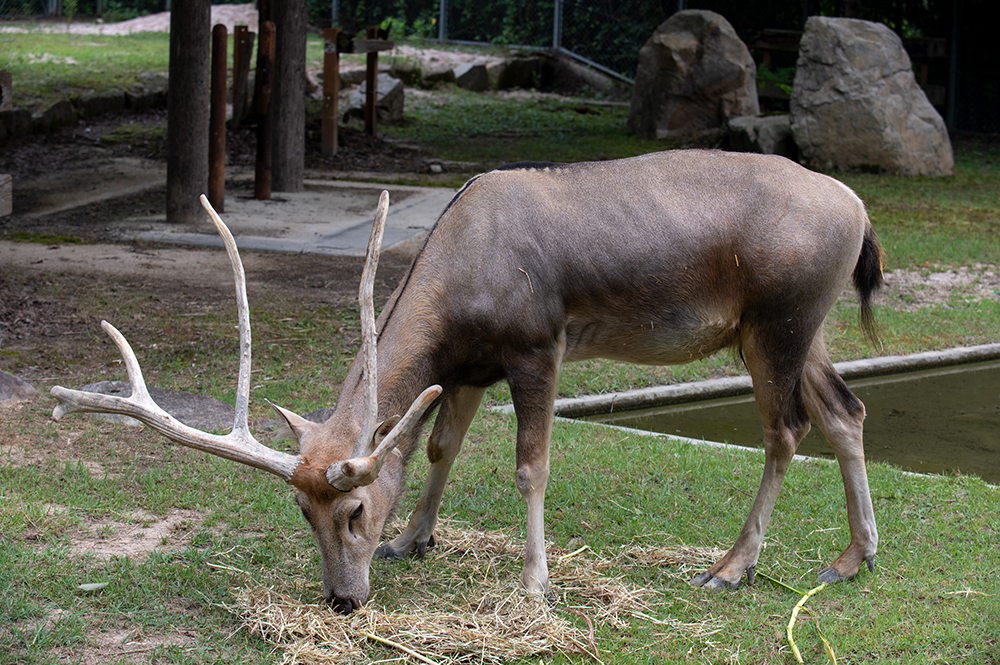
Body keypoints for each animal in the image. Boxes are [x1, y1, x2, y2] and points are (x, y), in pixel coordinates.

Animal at [52, 149, 884, 612]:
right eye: (300, 510)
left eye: (353, 509)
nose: (342, 600)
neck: (459, 287)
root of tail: (861, 210)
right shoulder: (467, 368)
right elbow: (438, 447)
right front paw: (413, 539)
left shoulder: (537, 344)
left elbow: (529, 464)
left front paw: (537, 584)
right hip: (795, 326)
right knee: (847, 409)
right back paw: (854, 556)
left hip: (779, 318)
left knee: (786, 428)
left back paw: (731, 568)